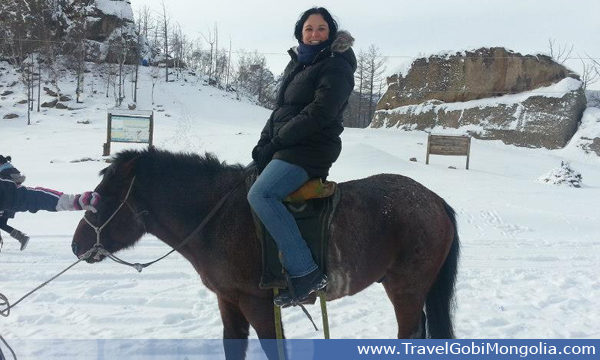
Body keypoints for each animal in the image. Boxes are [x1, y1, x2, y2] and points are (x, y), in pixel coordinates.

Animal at [72, 148, 462, 358]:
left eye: (104, 198)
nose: (77, 244)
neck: (216, 217)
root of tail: (434, 200)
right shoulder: (229, 302)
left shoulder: (258, 305)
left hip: (406, 289)